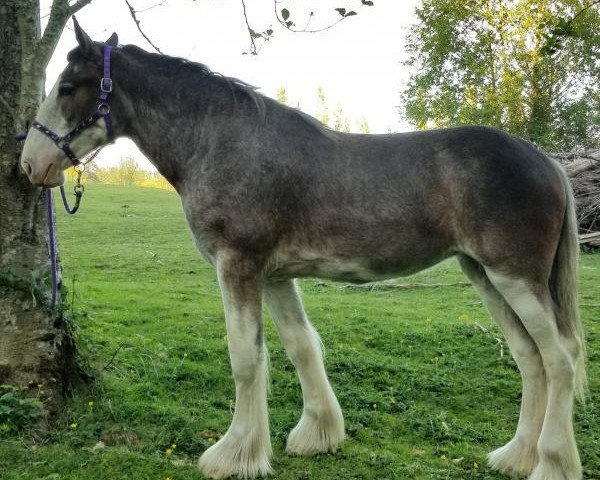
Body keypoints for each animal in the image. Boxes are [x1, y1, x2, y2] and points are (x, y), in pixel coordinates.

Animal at [19, 22, 584, 480]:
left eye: (67, 87)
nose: (29, 164)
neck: (220, 141)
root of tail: (546, 162)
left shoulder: (238, 266)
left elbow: (246, 359)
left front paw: (234, 455)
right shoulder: (273, 275)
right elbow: (301, 346)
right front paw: (317, 434)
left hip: (513, 278)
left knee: (560, 360)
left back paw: (551, 462)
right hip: (485, 276)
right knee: (530, 358)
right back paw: (516, 456)